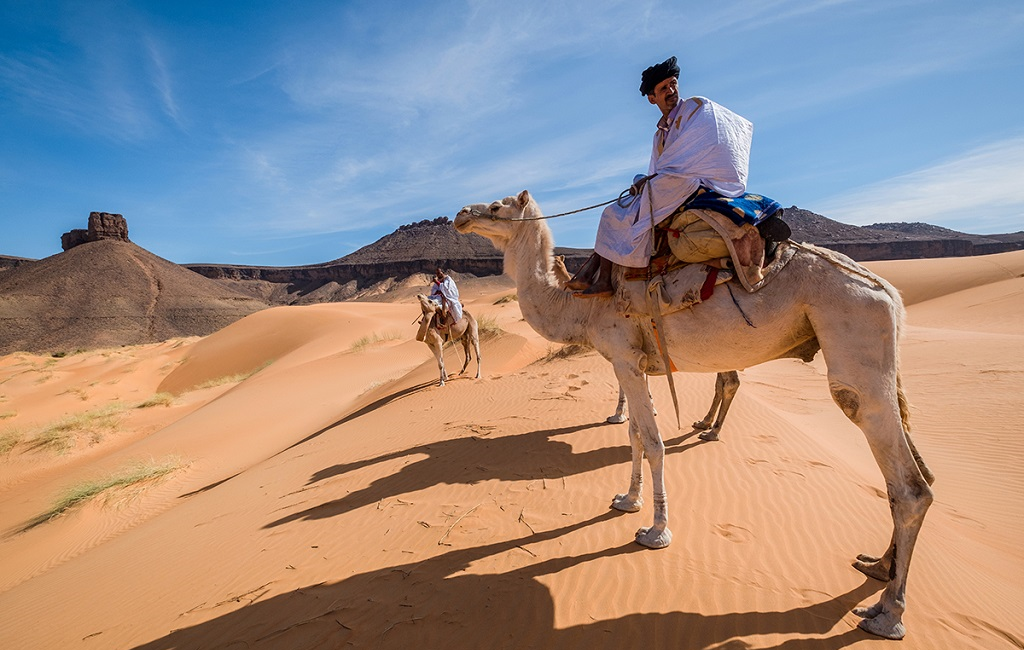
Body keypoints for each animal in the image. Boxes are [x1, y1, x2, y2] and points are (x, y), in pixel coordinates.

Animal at [553, 255, 739, 438]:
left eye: (557, 263)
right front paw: (645, 406)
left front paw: (620, 414)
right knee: (721, 382)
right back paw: (704, 422)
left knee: (731, 382)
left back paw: (713, 431)